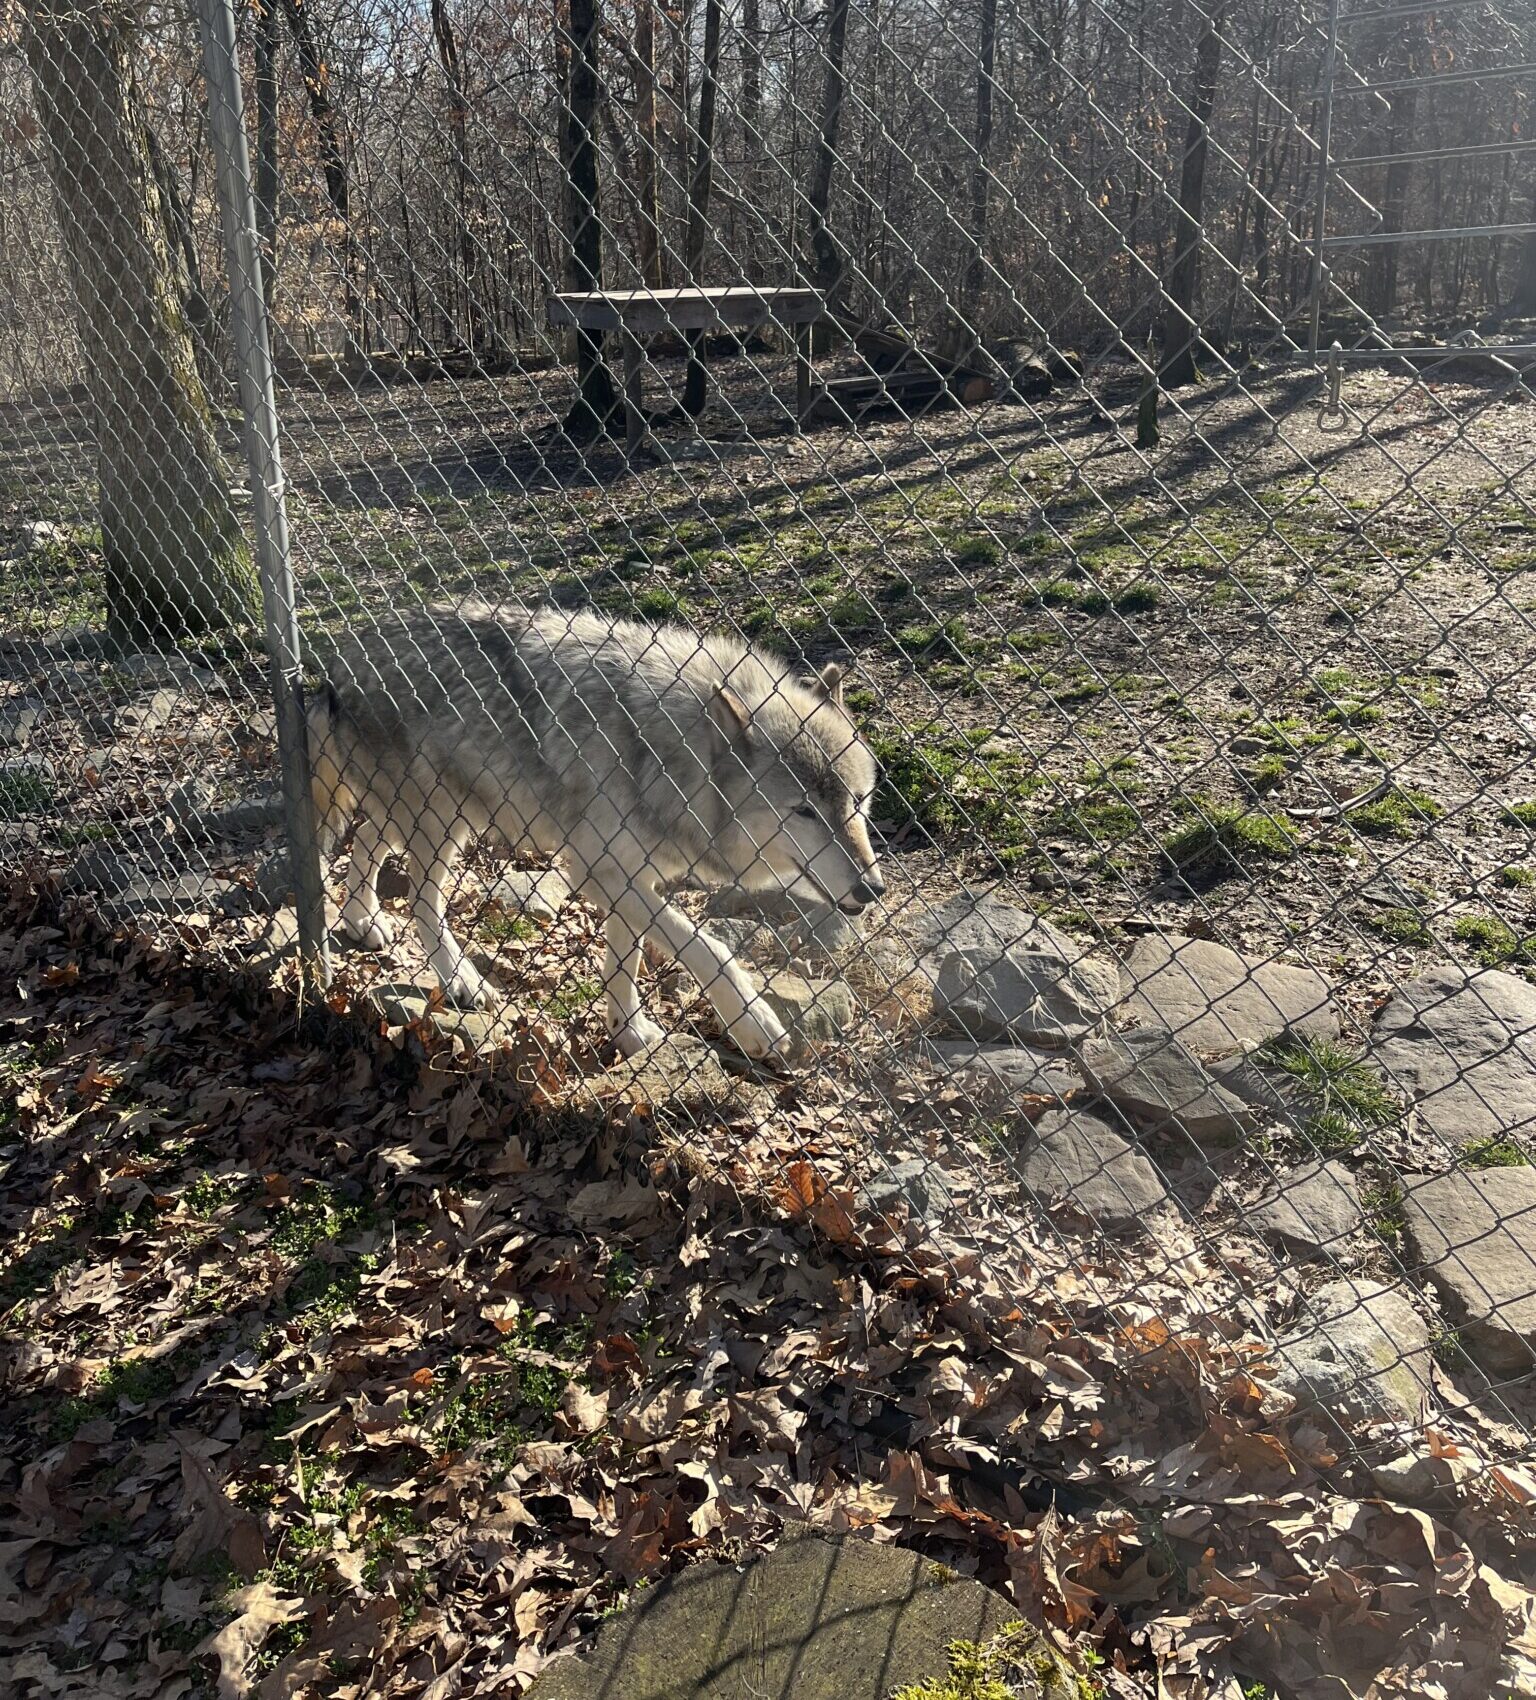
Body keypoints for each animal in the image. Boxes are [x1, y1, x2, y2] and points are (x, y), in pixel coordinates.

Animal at [306, 601, 885, 1061]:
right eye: (804, 811)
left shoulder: (630, 874)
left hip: (428, 813)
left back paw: (362, 921)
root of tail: (339, 657)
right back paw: (462, 981)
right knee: (422, 904)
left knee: (366, 845)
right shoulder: (596, 870)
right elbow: (706, 947)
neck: (663, 754)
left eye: (859, 801)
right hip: (441, 820)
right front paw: (754, 1023)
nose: (873, 889)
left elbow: (626, 961)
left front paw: (629, 1033)